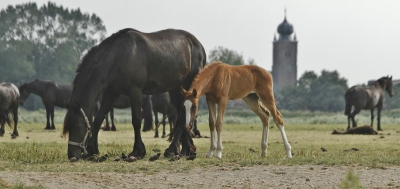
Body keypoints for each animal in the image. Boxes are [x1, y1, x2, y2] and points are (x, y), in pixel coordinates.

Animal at [63, 28, 206, 161]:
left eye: (78, 126)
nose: (72, 155)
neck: (117, 56)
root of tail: (199, 46)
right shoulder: (111, 93)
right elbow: (98, 119)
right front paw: (93, 149)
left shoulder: (135, 91)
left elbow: (136, 120)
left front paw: (137, 151)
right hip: (176, 90)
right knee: (183, 115)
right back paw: (185, 150)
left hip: (187, 86)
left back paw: (172, 149)